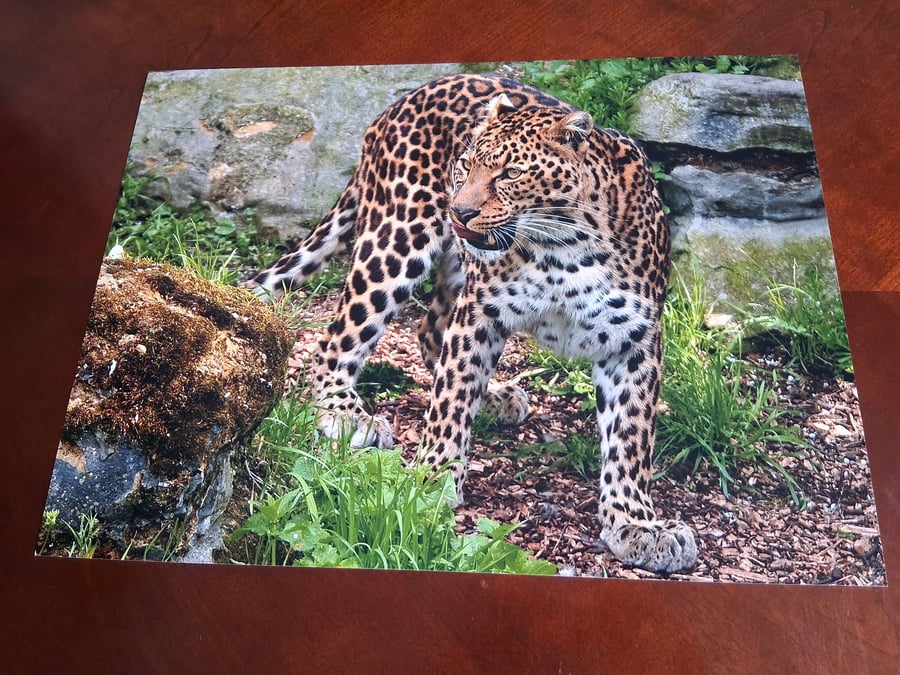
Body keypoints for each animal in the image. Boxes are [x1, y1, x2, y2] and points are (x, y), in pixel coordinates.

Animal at [246, 73, 697, 574]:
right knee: (337, 338)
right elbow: (449, 403)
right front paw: (428, 482)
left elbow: (631, 439)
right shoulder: (480, 312)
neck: (565, 249)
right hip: (396, 240)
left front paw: (637, 524)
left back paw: (497, 397)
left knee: (427, 330)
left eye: (512, 174)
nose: (459, 212)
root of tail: (405, 98)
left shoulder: (635, 340)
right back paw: (345, 412)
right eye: (465, 164)